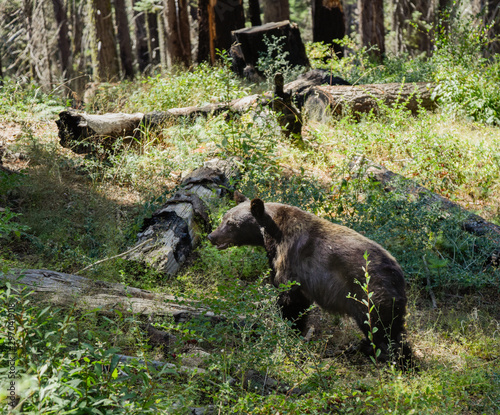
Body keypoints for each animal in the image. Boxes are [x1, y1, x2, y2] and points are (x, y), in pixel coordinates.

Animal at [208, 193, 414, 366]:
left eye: (231, 223)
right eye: (224, 218)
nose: (211, 236)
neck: (272, 234)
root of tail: (398, 274)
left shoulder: (291, 260)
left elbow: (290, 299)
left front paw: (290, 330)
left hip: (370, 295)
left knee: (383, 329)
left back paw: (395, 360)